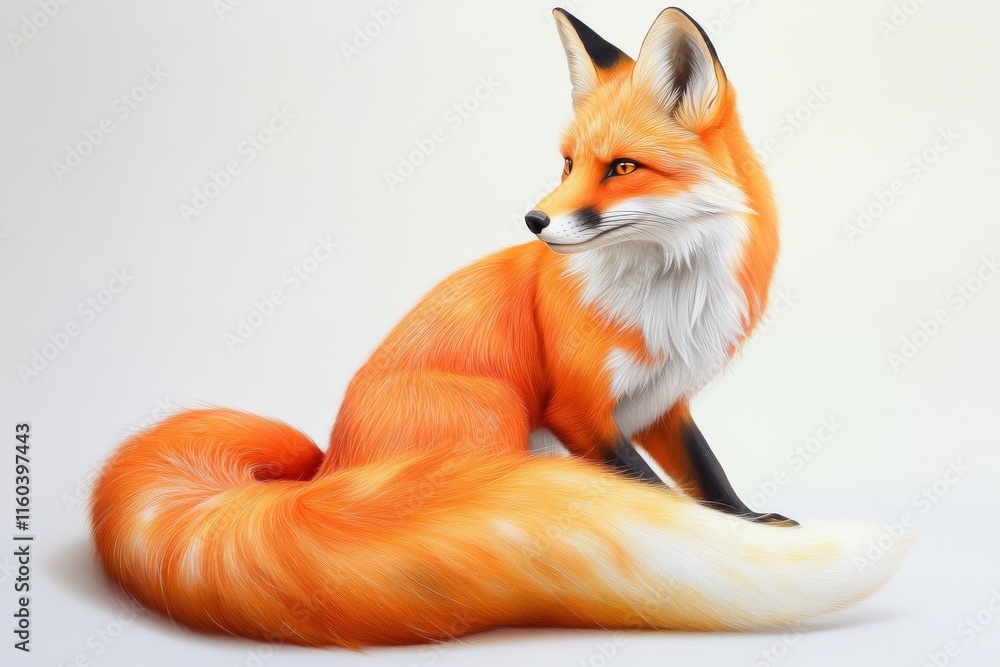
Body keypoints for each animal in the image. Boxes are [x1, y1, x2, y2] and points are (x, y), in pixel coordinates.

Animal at [90, 7, 913, 648]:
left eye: (621, 168)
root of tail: (326, 476)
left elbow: (707, 475)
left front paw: (748, 523)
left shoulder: (662, 403)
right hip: (496, 412)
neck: (667, 295)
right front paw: (717, 543)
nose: (535, 221)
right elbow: (660, 497)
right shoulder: (578, 410)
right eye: (568, 162)